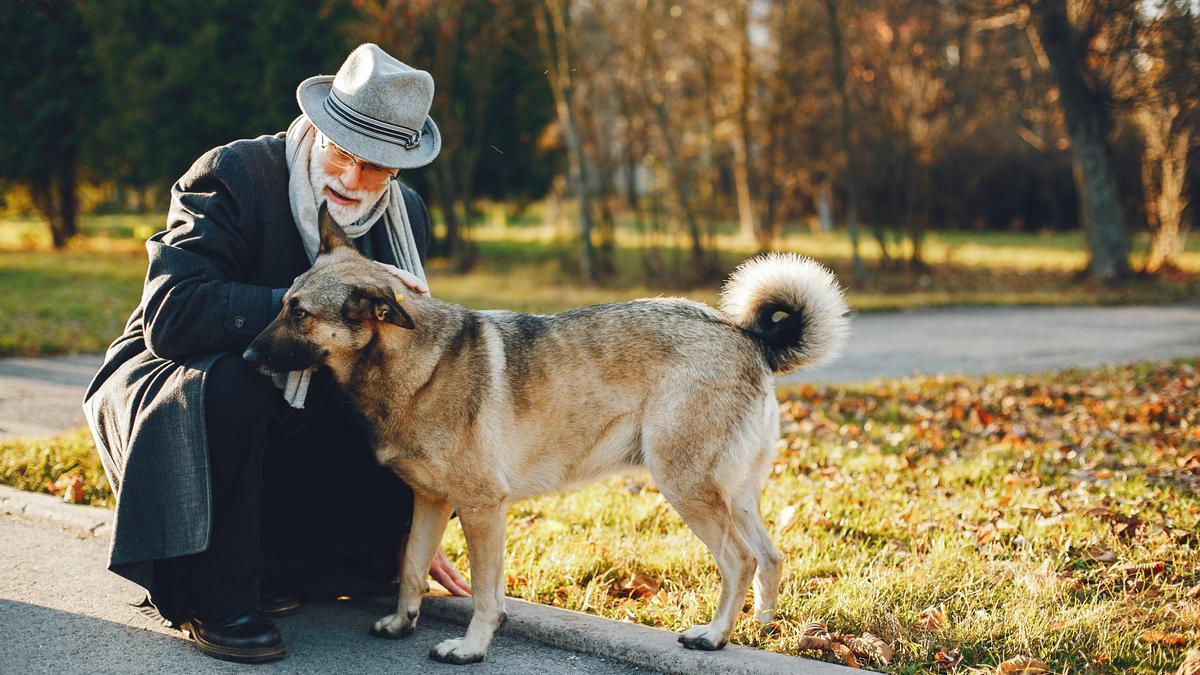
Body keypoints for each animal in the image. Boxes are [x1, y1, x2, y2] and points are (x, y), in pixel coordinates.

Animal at [243, 205, 849, 662]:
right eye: (284, 305)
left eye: (299, 313)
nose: (247, 357)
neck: (414, 363)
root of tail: (747, 336)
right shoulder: (431, 502)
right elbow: (413, 568)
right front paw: (400, 622)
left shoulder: (482, 508)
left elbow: (485, 593)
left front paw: (471, 647)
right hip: (733, 492)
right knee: (769, 556)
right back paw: (761, 627)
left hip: (686, 485)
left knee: (739, 560)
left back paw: (716, 636)